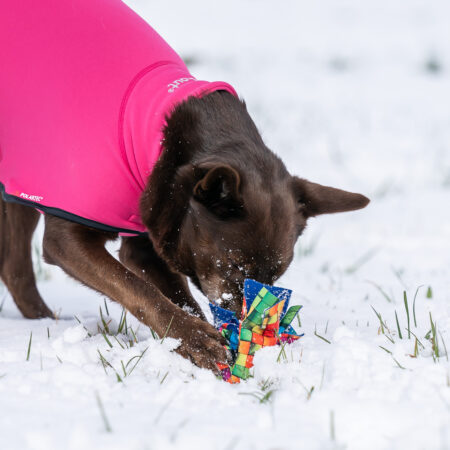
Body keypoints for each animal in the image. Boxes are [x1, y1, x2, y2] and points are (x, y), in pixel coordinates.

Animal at [0, 89, 368, 370]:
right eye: (234, 265)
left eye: (274, 277)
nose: (245, 327)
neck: (163, 144)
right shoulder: (68, 237)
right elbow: (141, 291)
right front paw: (196, 341)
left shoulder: (149, 238)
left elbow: (177, 295)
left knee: (14, 268)